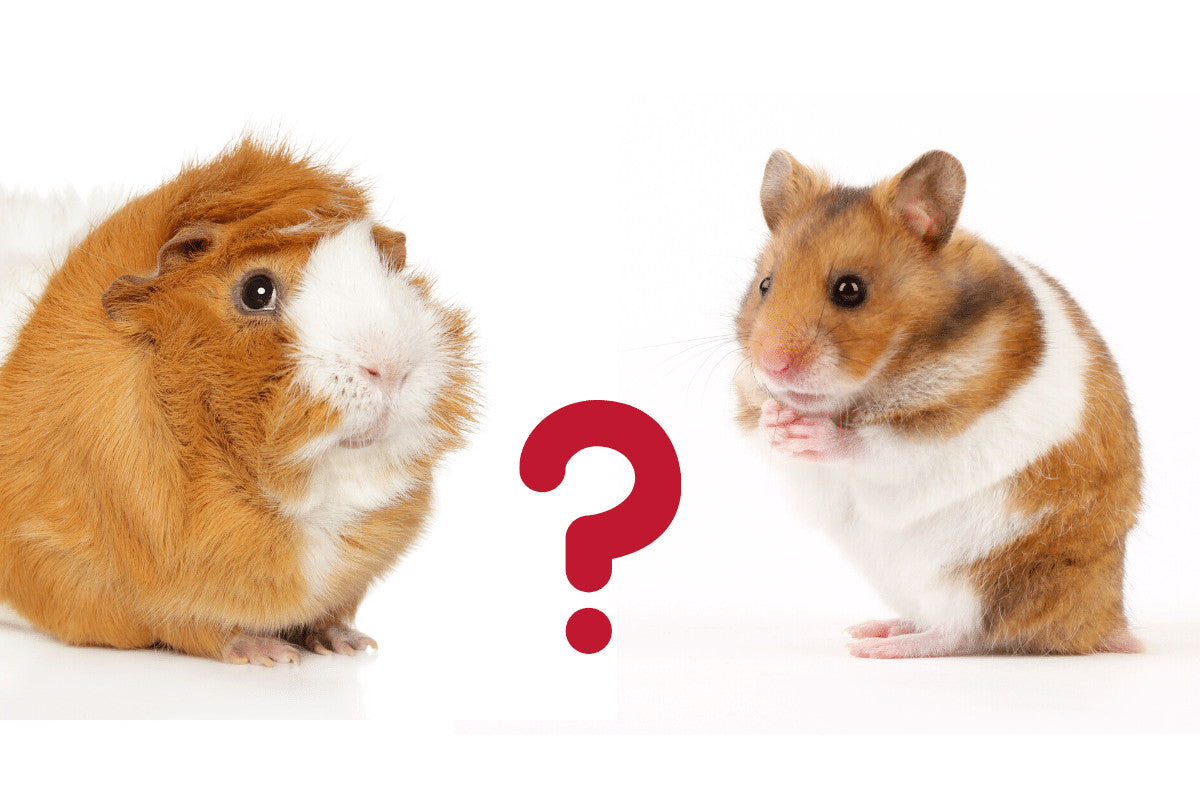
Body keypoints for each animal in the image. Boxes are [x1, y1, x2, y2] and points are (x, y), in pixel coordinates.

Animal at [0, 139, 477, 665]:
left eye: (386, 271)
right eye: (257, 290)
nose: (392, 367)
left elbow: (329, 612)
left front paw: (351, 645)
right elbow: (192, 625)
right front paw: (273, 655)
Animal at [734, 149, 1142, 657]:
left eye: (850, 290)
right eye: (765, 285)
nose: (772, 364)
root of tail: (1103, 622)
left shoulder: (938, 435)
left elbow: (873, 446)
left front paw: (812, 430)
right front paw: (775, 419)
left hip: (988, 576)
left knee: (964, 631)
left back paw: (877, 649)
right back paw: (874, 629)